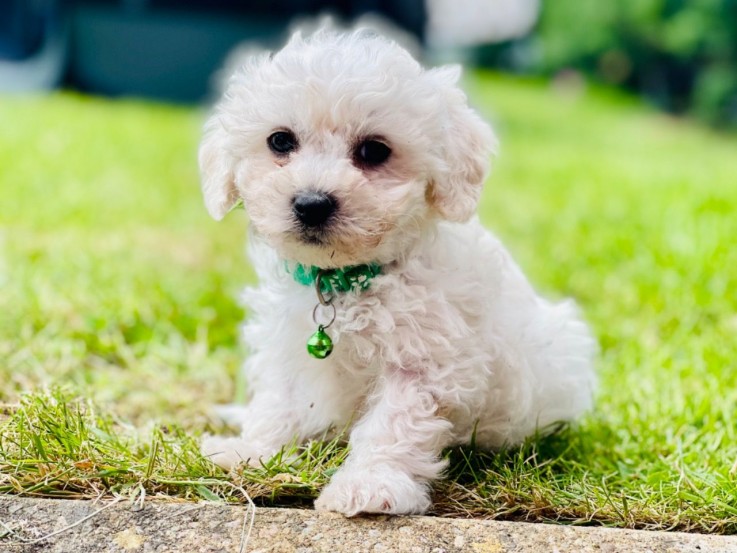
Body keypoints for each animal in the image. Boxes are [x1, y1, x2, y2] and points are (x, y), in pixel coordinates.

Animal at [198, 27, 596, 516]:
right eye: (280, 141)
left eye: (374, 150)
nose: (311, 203)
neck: (349, 279)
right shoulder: (287, 342)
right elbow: (279, 398)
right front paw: (254, 452)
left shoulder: (424, 360)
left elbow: (393, 424)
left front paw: (370, 484)